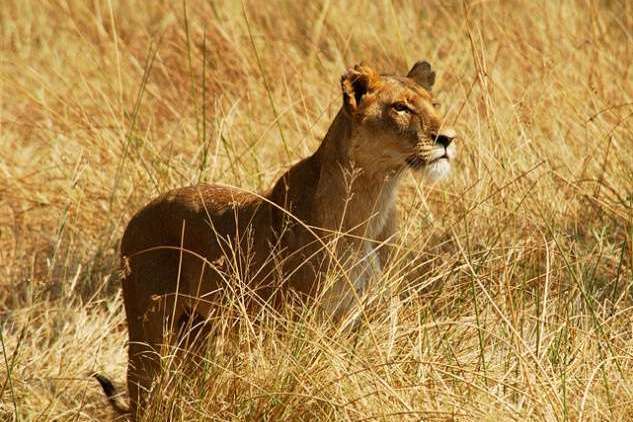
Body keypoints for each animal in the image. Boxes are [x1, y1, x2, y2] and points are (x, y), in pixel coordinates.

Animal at [95, 60, 454, 418]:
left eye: (435, 105)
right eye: (401, 108)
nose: (448, 138)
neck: (375, 195)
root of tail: (136, 217)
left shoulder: (355, 315)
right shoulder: (301, 317)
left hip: (199, 330)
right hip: (150, 327)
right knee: (143, 388)